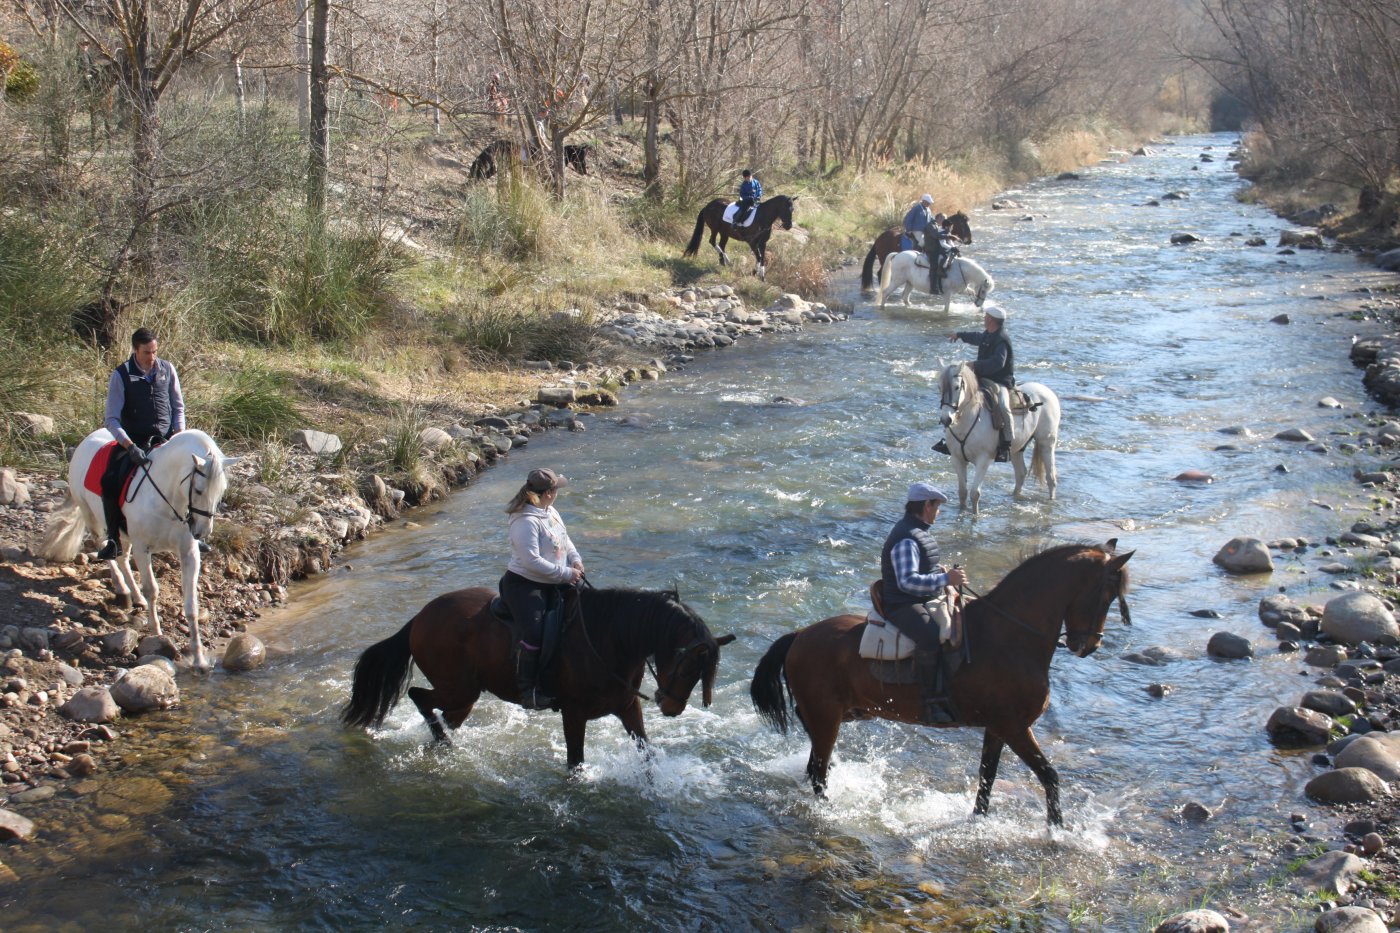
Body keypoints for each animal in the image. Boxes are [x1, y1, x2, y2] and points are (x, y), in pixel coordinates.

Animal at [40, 428, 235, 669]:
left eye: (221, 492)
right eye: (198, 490)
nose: (201, 532)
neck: (169, 498)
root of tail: (88, 439)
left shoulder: (189, 552)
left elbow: (191, 604)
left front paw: (198, 659)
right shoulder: (143, 548)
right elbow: (152, 589)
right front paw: (157, 632)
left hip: (125, 534)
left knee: (123, 559)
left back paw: (135, 596)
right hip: (92, 517)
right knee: (106, 550)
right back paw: (123, 590)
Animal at [345, 585, 739, 767]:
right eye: (688, 666)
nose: (672, 708)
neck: (607, 639)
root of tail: (420, 617)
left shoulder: (628, 706)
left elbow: (646, 752)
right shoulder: (574, 713)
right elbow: (575, 762)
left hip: (463, 698)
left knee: (438, 712)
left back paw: (442, 742)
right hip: (459, 690)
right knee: (417, 695)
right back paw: (444, 743)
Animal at [750, 540, 1131, 823]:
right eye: (1106, 595)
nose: (1089, 646)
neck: (1010, 634)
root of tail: (800, 635)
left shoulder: (999, 728)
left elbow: (987, 776)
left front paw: (979, 820)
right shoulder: (1015, 727)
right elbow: (1049, 775)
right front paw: (1056, 830)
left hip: (840, 714)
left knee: (816, 761)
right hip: (827, 717)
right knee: (818, 771)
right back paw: (830, 812)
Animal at [940, 358, 1058, 512]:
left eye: (956, 387)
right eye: (939, 387)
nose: (946, 419)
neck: (969, 420)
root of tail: (1047, 391)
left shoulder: (983, 460)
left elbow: (974, 493)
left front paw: (975, 515)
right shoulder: (957, 459)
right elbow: (962, 492)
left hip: (1046, 443)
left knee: (1051, 478)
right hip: (1017, 448)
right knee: (1021, 474)